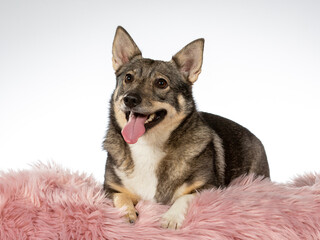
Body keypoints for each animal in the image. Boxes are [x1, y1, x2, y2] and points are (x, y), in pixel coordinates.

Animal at [103, 25, 270, 229]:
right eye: (128, 78)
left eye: (161, 83)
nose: (130, 99)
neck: (148, 145)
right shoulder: (109, 188)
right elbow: (121, 198)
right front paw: (126, 213)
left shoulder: (209, 187)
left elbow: (184, 198)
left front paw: (171, 218)